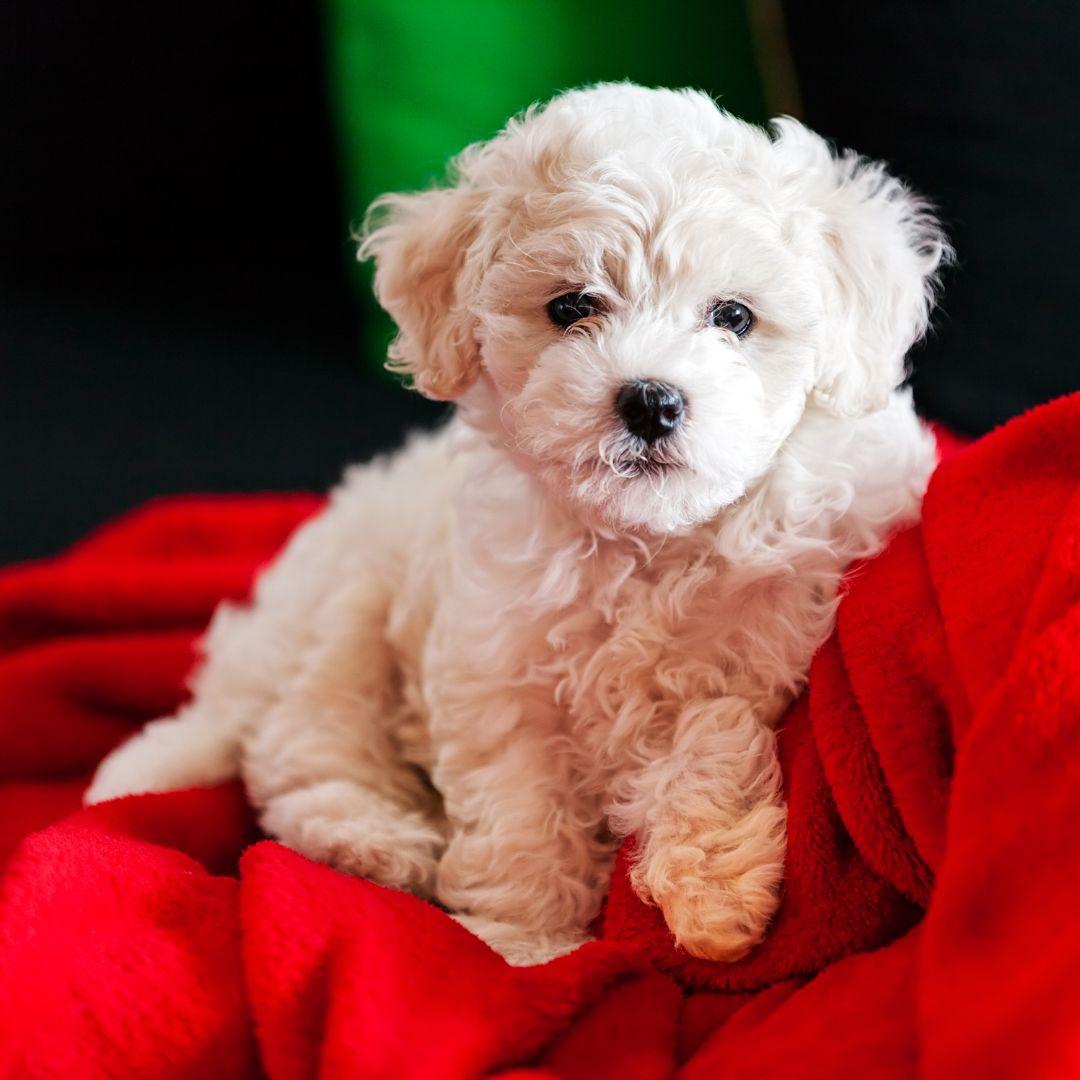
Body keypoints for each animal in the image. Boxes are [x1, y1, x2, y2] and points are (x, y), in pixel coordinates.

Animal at [86, 82, 946, 963]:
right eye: (571, 307)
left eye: (734, 317)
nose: (651, 399)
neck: (646, 542)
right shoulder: (498, 675)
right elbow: (522, 813)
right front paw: (524, 948)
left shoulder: (763, 641)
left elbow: (709, 733)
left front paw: (713, 893)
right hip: (343, 619)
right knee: (301, 750)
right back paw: (377, 843)